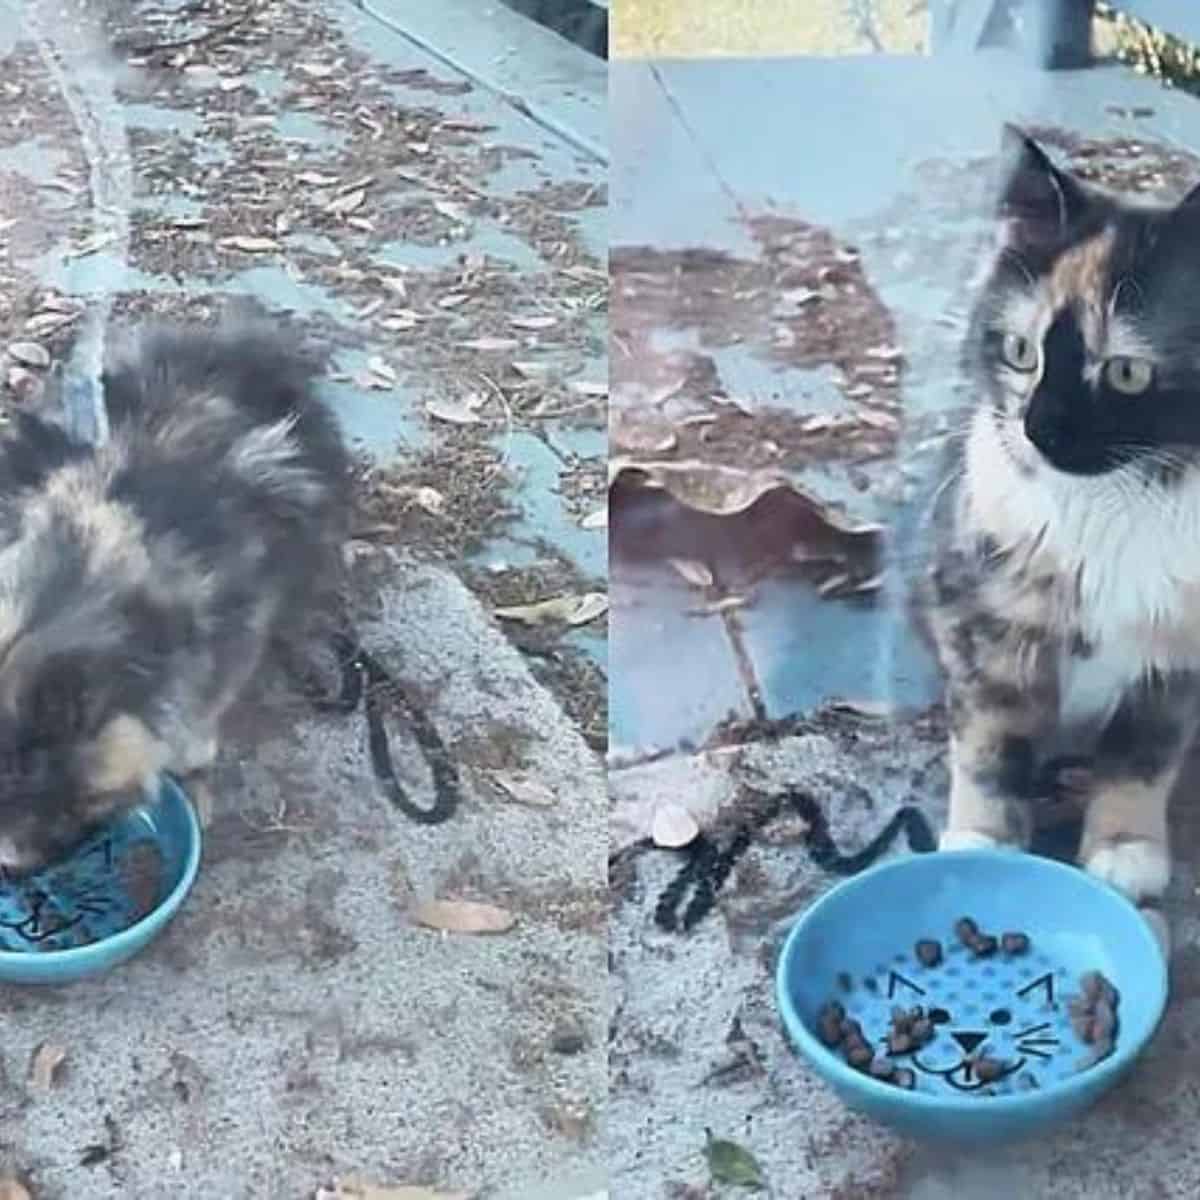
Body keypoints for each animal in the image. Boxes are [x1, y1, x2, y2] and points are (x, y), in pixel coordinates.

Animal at [926, 124, 1200, 907]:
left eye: (1128, 373)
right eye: (1021, 351)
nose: (1039, 429)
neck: (1117, 506)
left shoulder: (1177, 661)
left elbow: (1142, 755)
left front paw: (1125, 849)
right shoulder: (983, 615)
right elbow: (989, 740)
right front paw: (981, 843)